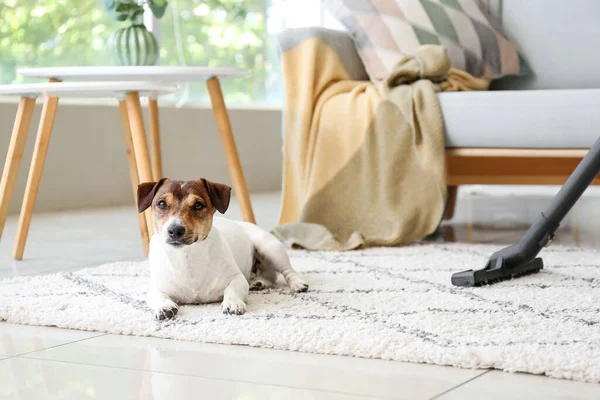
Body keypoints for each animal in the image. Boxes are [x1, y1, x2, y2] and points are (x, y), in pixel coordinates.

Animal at [135, 177, 304, 320]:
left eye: (198, 205)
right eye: (162, 204)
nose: (175, 230)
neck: (187, 257)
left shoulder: (237, 279)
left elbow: (232, 290)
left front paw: (232, 303)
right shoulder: (155, 287)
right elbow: (157, 296)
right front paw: (164, 307)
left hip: (270, 248)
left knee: (287, 271)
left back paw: (298, 284)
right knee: (270, 276)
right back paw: (259, 282)